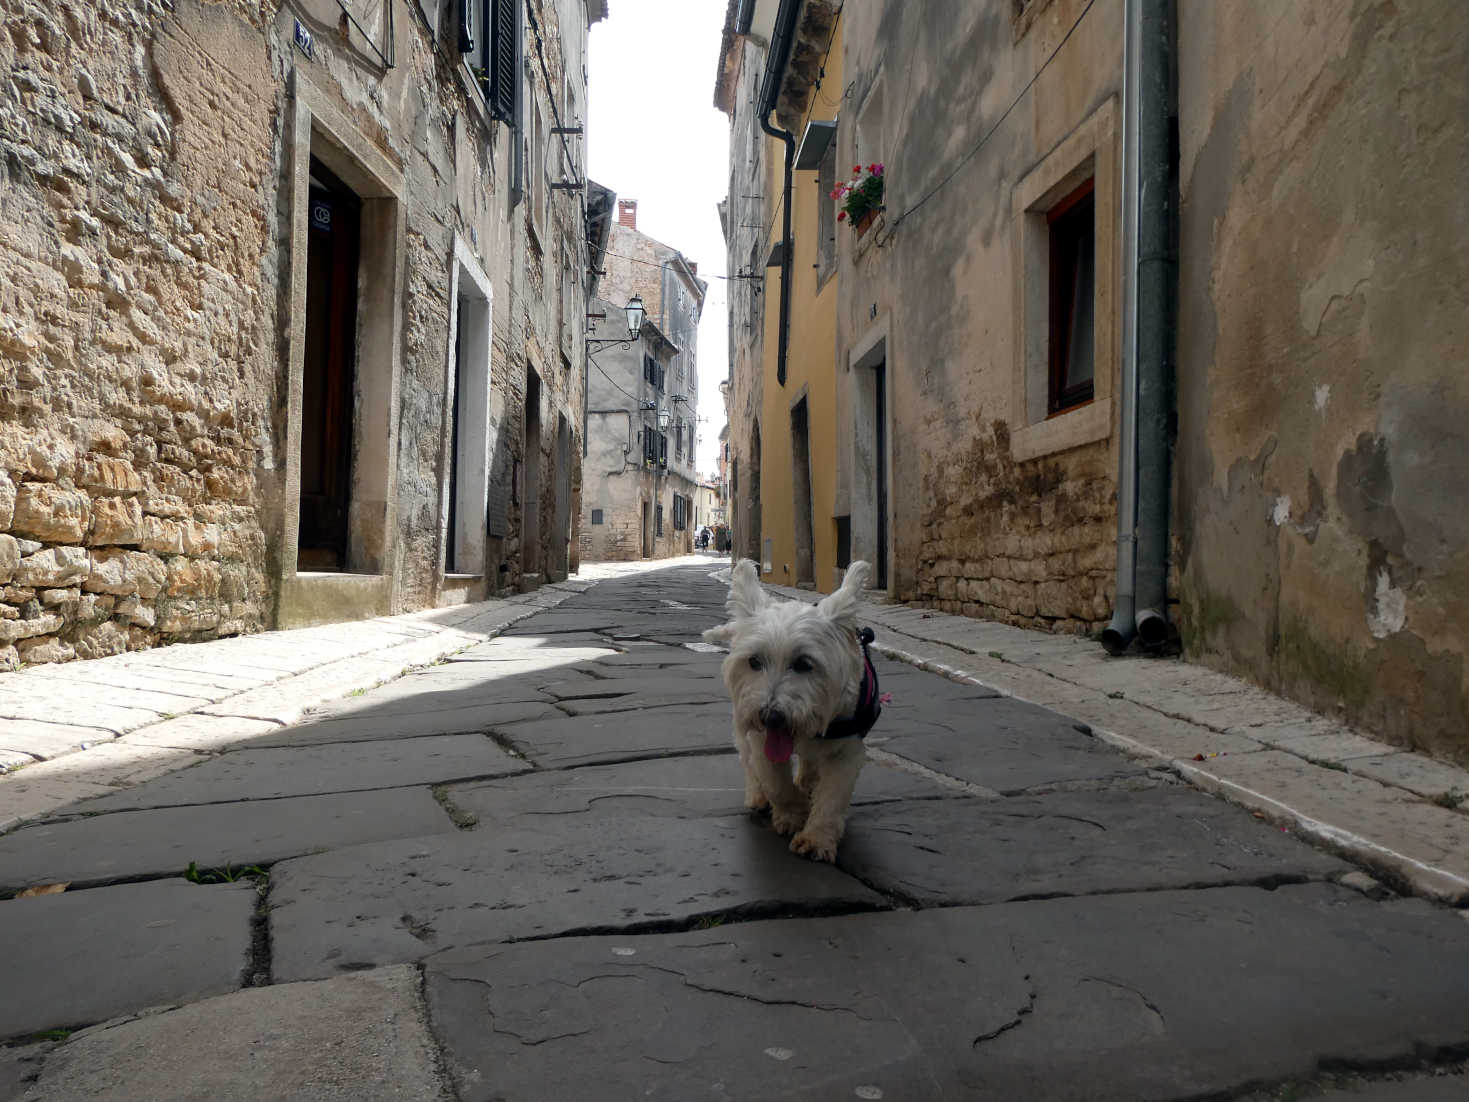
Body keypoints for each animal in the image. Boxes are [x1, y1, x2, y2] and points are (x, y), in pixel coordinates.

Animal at [702, 561, 881, 863]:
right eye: (754, 661)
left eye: (804, 663)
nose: (770, 716)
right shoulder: (761, 738)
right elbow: (776, 783)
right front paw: (792, 814)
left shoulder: (846, 751)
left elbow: (832, 797)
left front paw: (816, 838)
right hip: (742, 720)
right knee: (748, 761)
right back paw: (758, 796)